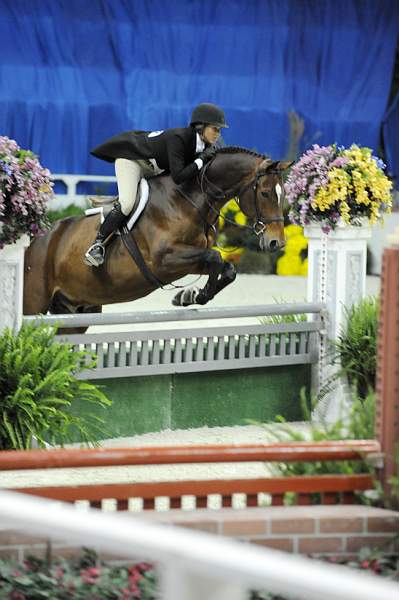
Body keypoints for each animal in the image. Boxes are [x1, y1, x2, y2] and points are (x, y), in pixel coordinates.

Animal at [24, 148, 290, 330]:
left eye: (283, 193)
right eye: (265, 193)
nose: (276, 243)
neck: (190, 199)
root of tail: (36, 241)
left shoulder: (189, 260)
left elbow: (227, 268)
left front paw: (188, 296)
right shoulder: (164, 260)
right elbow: (215, 257)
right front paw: (195, 295)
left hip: (77, 312)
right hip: (34, 303)